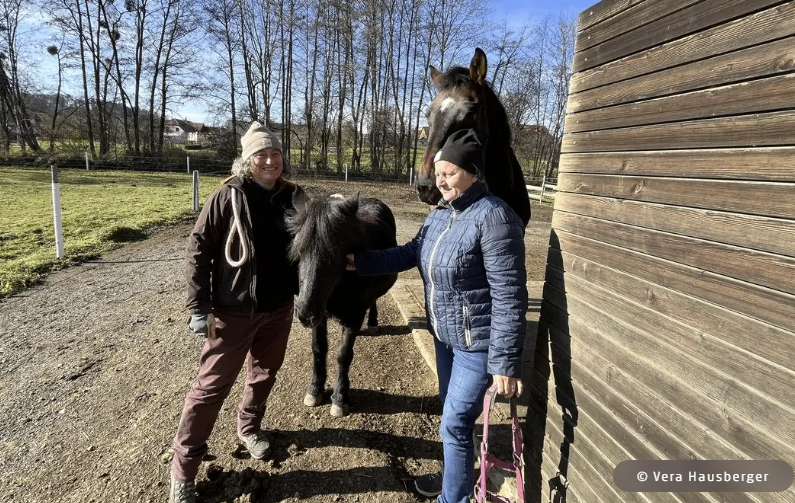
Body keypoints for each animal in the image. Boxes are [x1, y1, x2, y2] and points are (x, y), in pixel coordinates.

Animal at [286, 191, 398, 417]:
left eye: (335, 253)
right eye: (299, 250)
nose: (304, 313)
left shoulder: (353, 315)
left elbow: (343, 355)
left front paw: (340, 398)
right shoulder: (320, 316)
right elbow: (318, 348)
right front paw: (315, 389)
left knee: (374, 301)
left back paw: (372, 323)